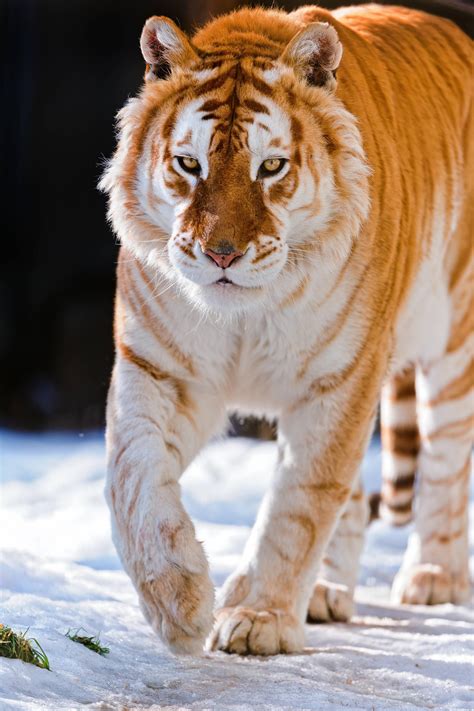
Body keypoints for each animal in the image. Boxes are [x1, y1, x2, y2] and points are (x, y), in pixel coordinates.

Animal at [98, 4, 472, 656]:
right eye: (189, 164)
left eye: (270, 166)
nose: (221, 254)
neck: (246, 317)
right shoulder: (159, 370)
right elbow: (132, 478)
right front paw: (180, 604)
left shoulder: (339, 380)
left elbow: (299, 504)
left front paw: (259, 619)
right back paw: (325, 593)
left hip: (454, 344)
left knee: (447, 462)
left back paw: (434, 578)